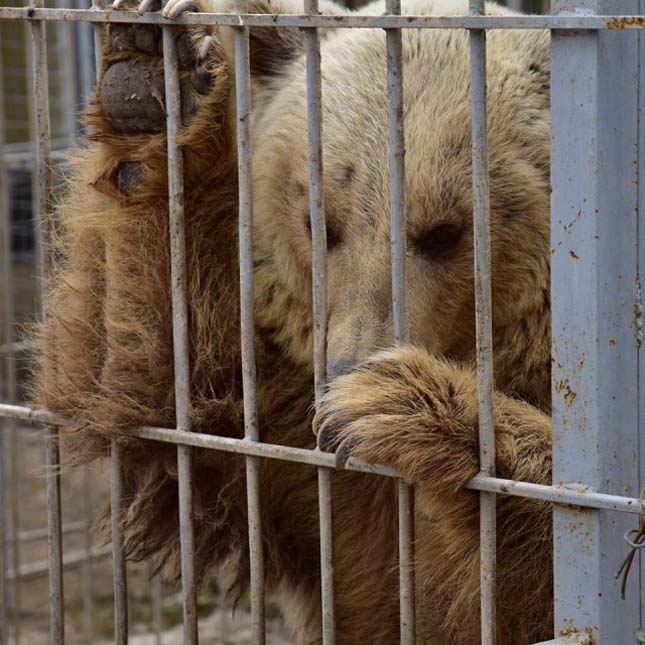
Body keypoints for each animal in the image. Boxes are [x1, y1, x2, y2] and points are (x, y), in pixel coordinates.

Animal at [34, 2, 552, 640]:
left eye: (445, 232)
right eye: (320, 221)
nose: (345, 368)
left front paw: (393, 404)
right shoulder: (295, 463)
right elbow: (172, 399)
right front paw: (155, 80)